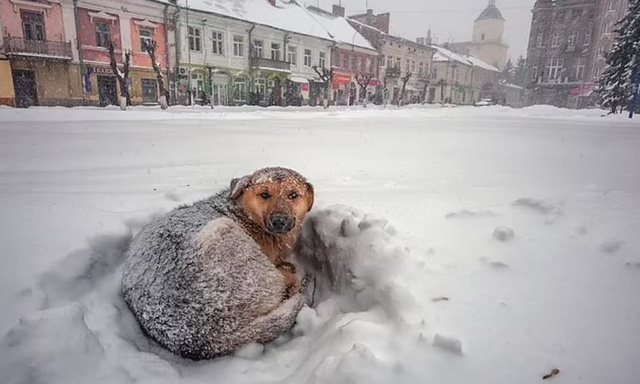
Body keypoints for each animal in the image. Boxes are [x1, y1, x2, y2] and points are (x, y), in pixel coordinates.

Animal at [121, 167, 314, 360]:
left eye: (293, 195)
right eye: (264, 194)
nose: (279, 222)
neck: (244, 215)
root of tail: (207, 339)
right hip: (227, 237)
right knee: (286, 283)